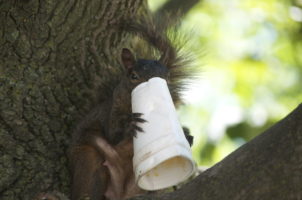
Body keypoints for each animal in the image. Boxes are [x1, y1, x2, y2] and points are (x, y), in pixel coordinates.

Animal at [67, 16, 195, 200]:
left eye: (167, 76)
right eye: (133, 76)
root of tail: (118, 193)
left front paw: (187, 135)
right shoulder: (111, 111)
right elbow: (113, 134)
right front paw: (130, 124)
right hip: (88, 161)